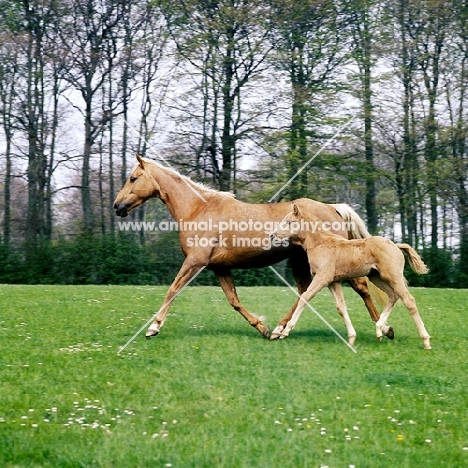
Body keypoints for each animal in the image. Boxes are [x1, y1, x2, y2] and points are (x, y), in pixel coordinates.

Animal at [270, 203, 432, 350]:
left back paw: (426, 341)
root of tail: (396, 246)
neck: (320, 243)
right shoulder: (333, 282)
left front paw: (285, 331)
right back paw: (379, 330)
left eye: (289, 222)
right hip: (377, 277)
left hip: (393, 276)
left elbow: (305, 297)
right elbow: (341, 307)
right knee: (393, 295)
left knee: (408, 300)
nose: (272, 235)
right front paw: (352, 338)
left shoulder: (322, 278)